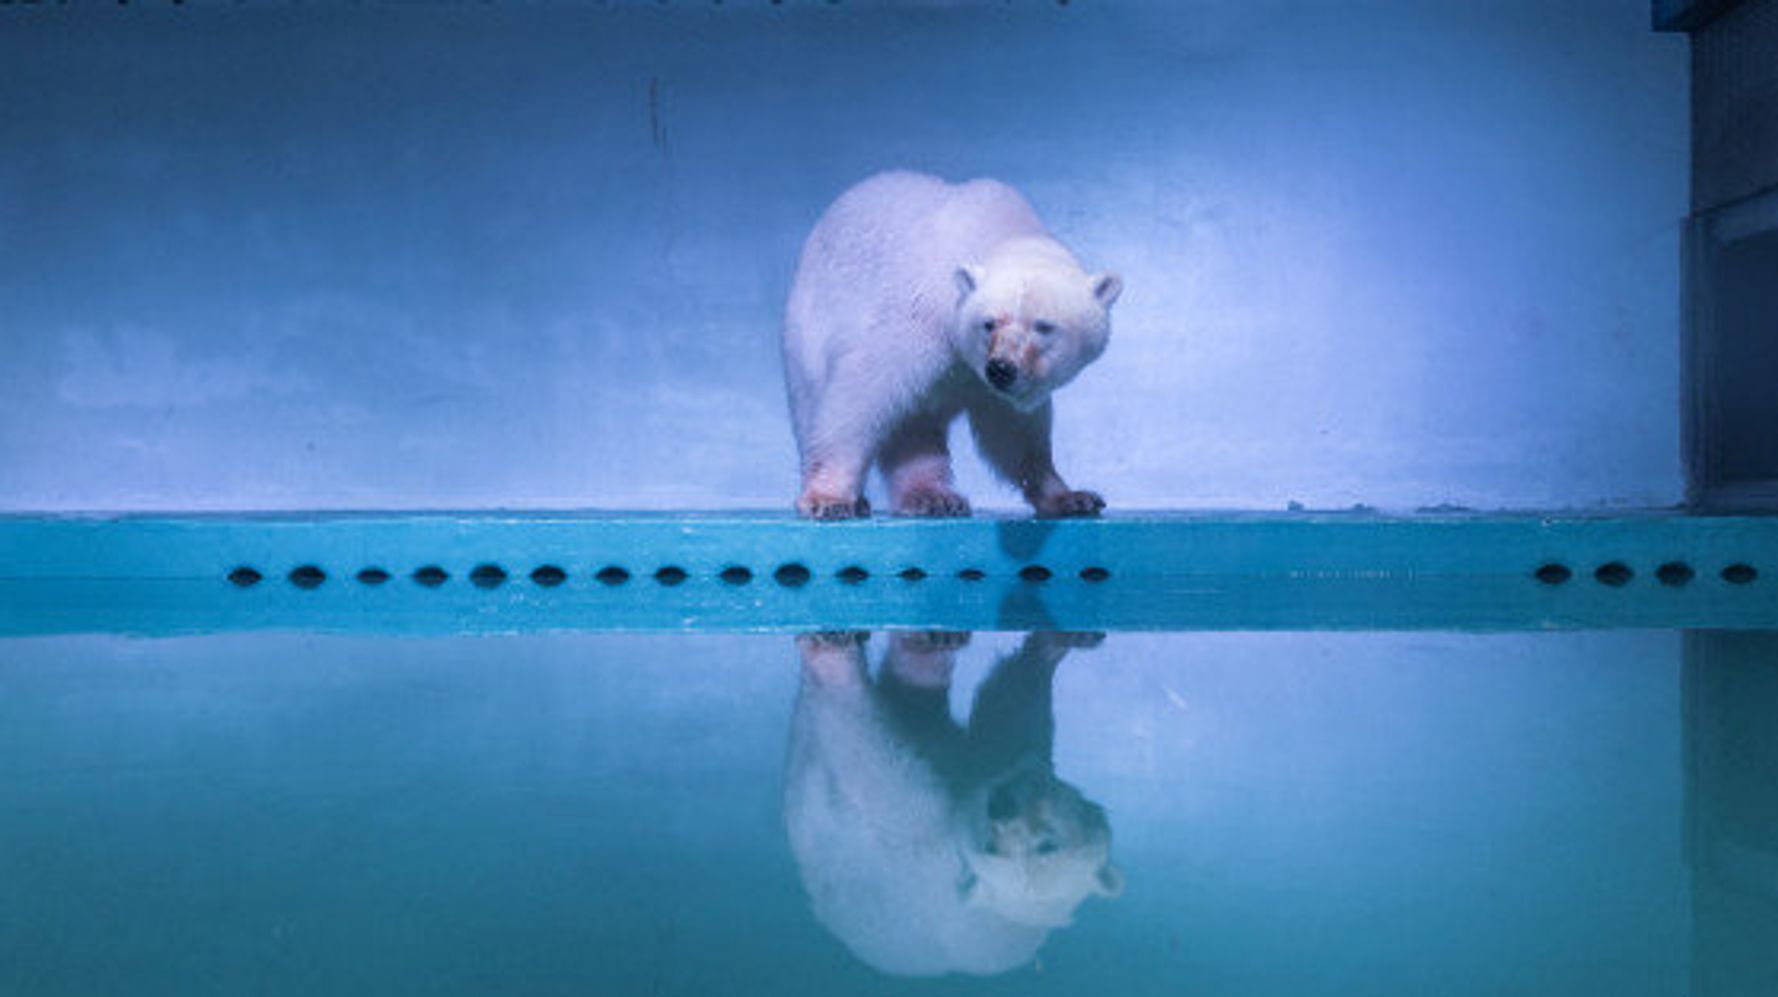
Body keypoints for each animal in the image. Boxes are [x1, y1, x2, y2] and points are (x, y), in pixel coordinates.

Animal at [782, 168, 1116, 522]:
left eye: (1043, 326)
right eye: (989, 323)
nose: (1001, 369)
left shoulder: (988, 383)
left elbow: (1013, 429)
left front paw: (1070, 497)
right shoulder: (919, 320)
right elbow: (859, 395)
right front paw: (828, 498)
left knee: (915, 427)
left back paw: (932, 496)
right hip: (806, 328)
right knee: (814, 403)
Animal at [782, 629, 1116, 973]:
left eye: (1046, 844)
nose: (1001, 805)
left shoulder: (932, 829)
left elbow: (870, 753)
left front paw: (831, 657)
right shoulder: (993, 767)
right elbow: (1009, 713)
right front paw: (1054, 644)